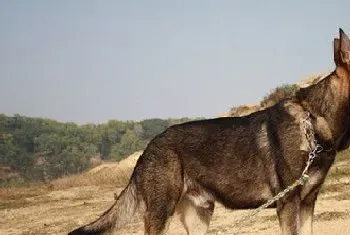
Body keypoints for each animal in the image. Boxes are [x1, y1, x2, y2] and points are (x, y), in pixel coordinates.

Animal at [67, 28, 350, 234]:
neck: (314, 122)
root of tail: (148, 148)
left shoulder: (307, 203)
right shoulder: (288, 205)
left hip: (199, 217)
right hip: (161, 214)